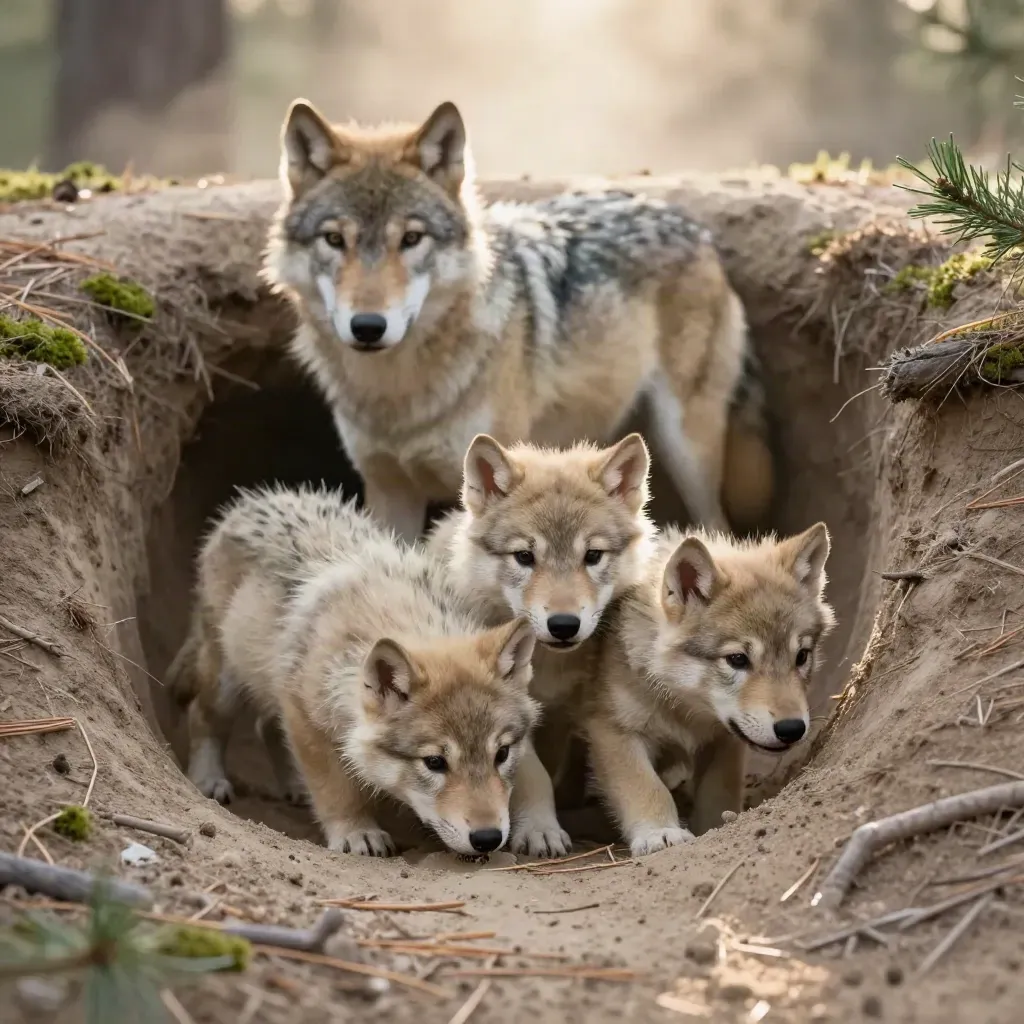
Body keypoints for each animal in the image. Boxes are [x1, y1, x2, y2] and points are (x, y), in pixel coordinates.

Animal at [166, 485, 568, 858]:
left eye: (501, 755)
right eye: (435, 763)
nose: (488, 839)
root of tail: (249, 503)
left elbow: (534, 775)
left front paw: (540, 828)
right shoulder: (305, 714)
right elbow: (337, 787)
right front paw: (356, 832)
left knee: (266, 726)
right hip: (227, 683)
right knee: (204, 717)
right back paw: (208, 779)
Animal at [262, 98, 773, 545]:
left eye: (411, 239)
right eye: (334, 240)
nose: (368, 326)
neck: (399, 394)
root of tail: (692, 225)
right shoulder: (388, 491)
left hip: (687, 447)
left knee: (718, 527)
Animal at [581, 522, 835, 857]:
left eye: (802, 656)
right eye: (737, 659)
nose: (792, 729)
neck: (683, 707)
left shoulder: (724, 739)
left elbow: (718, 791)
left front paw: (716, 827)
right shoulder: (612, 729)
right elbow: (646, 786)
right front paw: (660, 832)